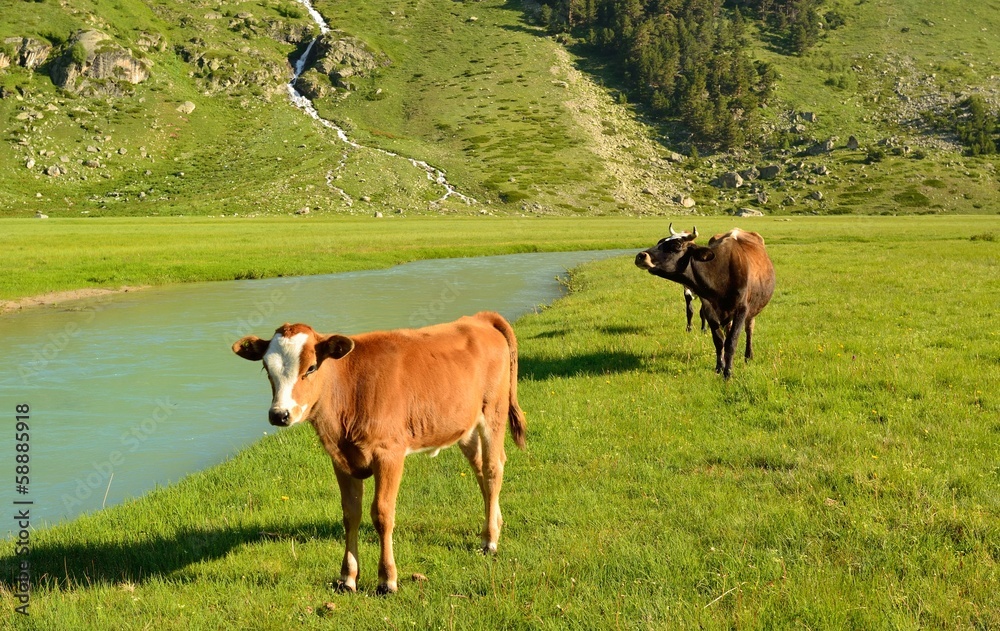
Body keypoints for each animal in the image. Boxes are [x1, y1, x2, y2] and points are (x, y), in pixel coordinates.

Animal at [232, 311, 526, 595]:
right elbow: (350, 514)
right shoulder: (341, 459)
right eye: (266, 368)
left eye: (311, 367)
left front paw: (387, 580)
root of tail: (478, 319)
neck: (349, 391)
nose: (279, 414)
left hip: (493, 412)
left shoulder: (389, 453)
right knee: (480, 470)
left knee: (492, 468)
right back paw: (495, 524)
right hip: (464, 426)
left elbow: (383, 514)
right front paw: (348, 578)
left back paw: (490, 540)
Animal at [635, 224, 775, 378]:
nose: (641, 256)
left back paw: (748, 356)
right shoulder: (709, 308)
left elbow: (731, 341)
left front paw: (728, 373)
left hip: (752, 310)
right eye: (660, 241)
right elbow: (719, 340)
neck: (720, 275)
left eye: (676, 246)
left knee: (749, 329)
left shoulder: (741, 310)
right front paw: (719, 367)